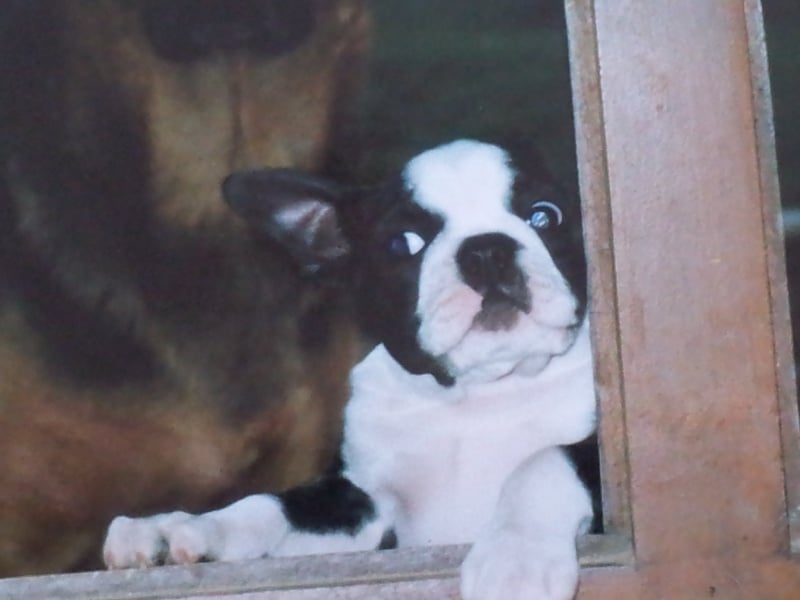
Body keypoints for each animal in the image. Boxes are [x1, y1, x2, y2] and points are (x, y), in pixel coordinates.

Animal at [103, 139, 598, 599]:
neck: (478, 394)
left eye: (545, 217)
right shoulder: (360, 501)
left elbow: (544, 460)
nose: (486, 250)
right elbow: (274, 504)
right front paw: (181, 528)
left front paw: (516, 559)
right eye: (404, 243)